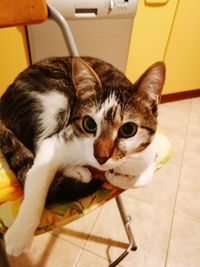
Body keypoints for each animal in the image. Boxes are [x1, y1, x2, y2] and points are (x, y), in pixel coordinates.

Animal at [0, 55, 165, 258]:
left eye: (128, 129)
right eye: (89, 124)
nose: (101, 157)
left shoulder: (149, 152)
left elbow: (144, 176)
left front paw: (116, 176)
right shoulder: (57, 141)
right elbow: (38, 180)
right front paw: (20, 235)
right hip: (54, 100)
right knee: (37, 147)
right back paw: (78, 172)